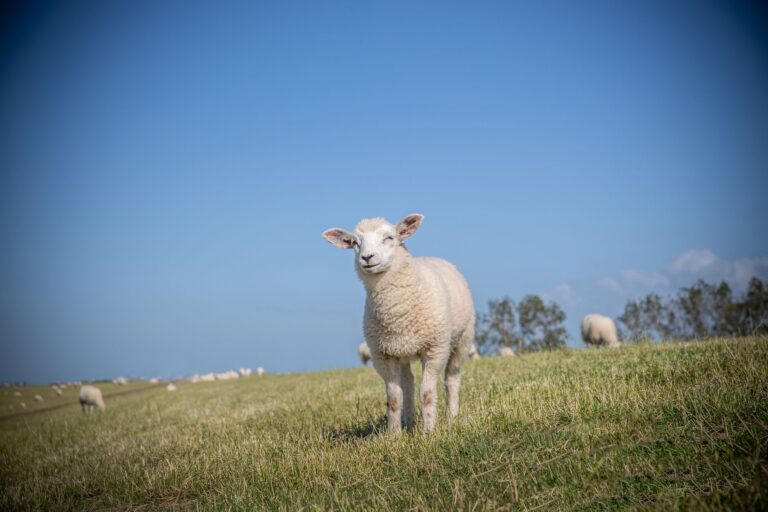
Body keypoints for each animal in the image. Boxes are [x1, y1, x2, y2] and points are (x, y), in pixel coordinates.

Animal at [323, 213, 475, 434]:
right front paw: (393, 434)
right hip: (401, 350)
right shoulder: (383, 355)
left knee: (452, 378)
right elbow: (394, 397)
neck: (397, 312)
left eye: (389, 238)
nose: (367, 258)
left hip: (462, 340)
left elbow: (427, 393)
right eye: (355, 243)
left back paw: (451, 417)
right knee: (409, 382)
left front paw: (429, 432)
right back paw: (409, 421)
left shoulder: (435, 349)